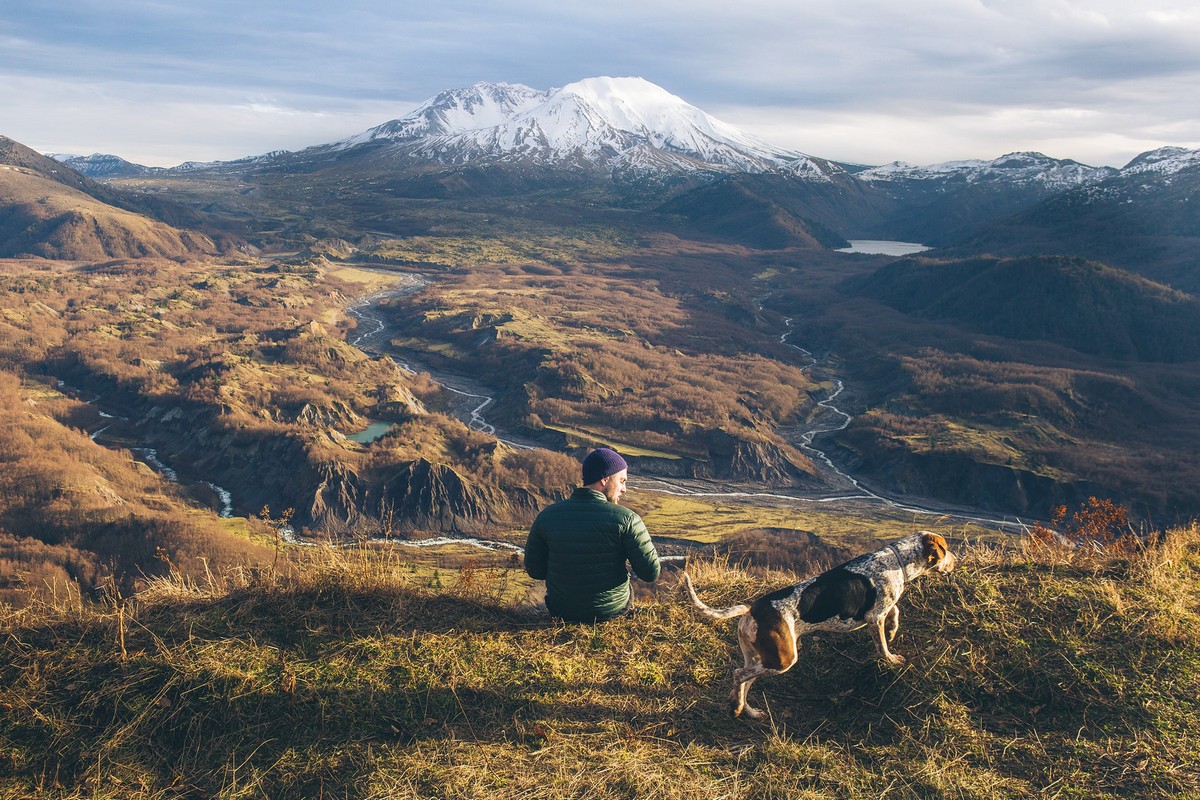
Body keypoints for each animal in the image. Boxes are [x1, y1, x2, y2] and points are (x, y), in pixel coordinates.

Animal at [686, 532, 955, 719]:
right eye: (946, 550)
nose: (958, 559)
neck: (896, 560)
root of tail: (752, 610)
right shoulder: (874, 616)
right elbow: (882, 644)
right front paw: (891, 658)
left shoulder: (880, 610)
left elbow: (895, 611)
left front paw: (892, 630)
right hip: (783, 659)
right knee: (738, 675)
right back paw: (736, 707)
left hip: (761, 658)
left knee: (744, 684)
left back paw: (747, 710)